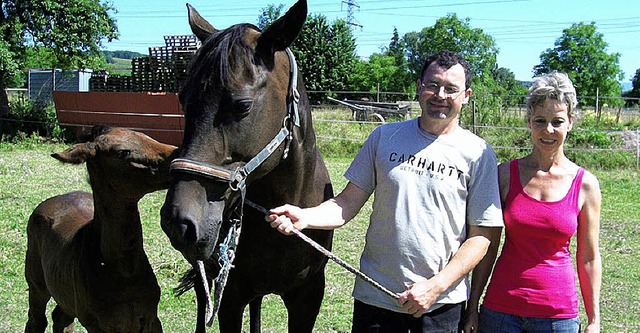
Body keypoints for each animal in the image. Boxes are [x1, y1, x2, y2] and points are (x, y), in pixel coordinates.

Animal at [25, 126, 178, 330]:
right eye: (122, 152)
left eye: (146, 136)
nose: (177, 154)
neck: (125, 272)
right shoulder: (96, 324)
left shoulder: (151, 318)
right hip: (36, 284)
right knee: (37, 319)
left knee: (61, 317)